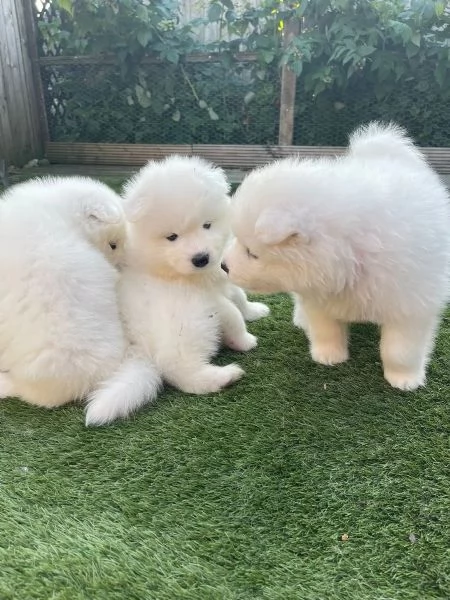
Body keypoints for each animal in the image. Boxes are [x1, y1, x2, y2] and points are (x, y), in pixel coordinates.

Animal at [83, 155, 268, 426]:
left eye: (207, 225)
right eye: (172, 237)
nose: (201, 258)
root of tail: (142, 353)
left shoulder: (221, 279)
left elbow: (239, 298)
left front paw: (256, 310)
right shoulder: (209, 297)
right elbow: (234, 313)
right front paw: (245, 339)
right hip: (188, 324)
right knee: (179, 370)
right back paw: (223, 376)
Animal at [222, 124, 450, 392]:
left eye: (252, 253)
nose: (223, 265)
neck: (353, 254)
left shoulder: (410, 306)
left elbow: (400, 350)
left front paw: (404, 379)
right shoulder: (318, 298)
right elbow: (326, 329)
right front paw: (329, 355)